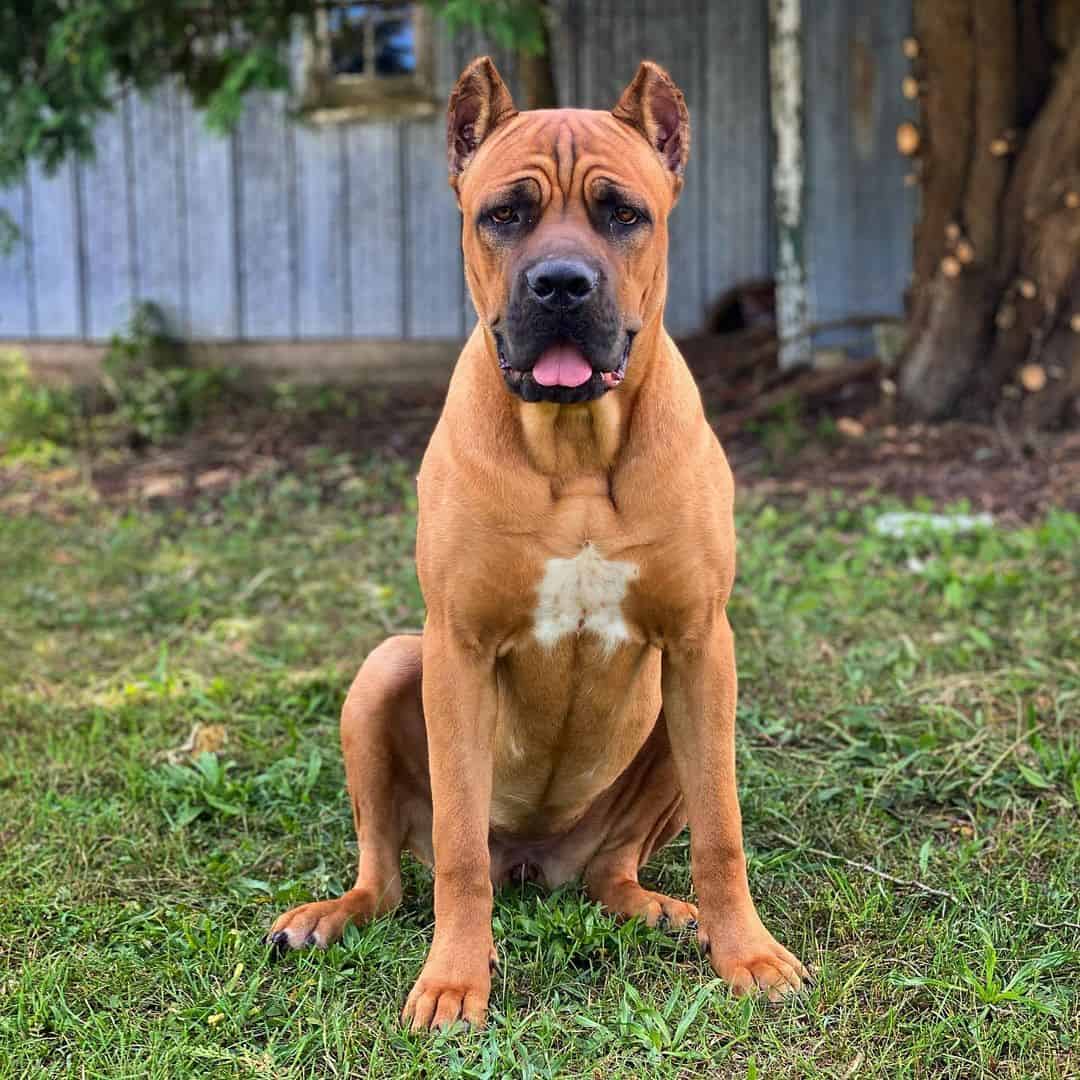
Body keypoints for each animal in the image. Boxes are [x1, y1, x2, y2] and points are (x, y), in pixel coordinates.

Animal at [267, 56, 812, 1028]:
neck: (576, 451)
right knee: (394, 873)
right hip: (388, 669)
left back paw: (658, 907)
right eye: (505, 215)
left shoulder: (702, 644)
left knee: (611, 867)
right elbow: (456, 851)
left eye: (623, 214)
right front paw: (454, 978)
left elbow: (724, 829)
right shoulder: (457, 647)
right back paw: (333, 914)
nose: (561, 284)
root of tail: (534, 861)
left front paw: (746, 952)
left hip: (671, 719)